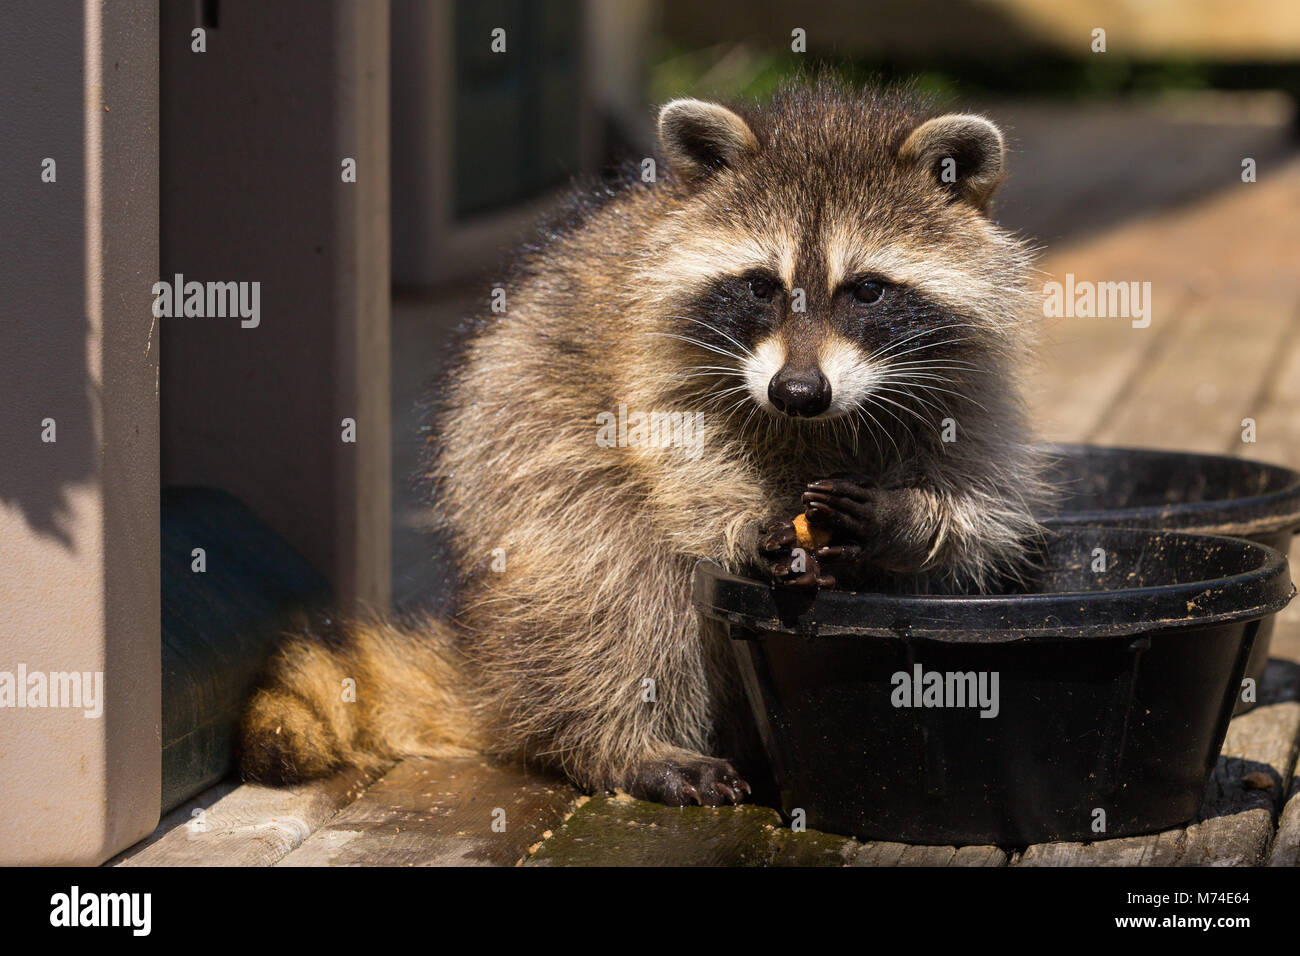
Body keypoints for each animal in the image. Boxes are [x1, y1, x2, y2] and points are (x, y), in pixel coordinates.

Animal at [241, 80, 1045, 806]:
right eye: (761, 285)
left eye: (868, 290)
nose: (796, 392)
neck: (815, 426)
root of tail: (485, 664)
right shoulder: (648, 352)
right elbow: (669, 458)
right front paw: (742, 523)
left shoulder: (967, 385)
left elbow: (979, 508)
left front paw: (904, 518)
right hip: (522, 473)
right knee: (613, 578)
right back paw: (625, 744)